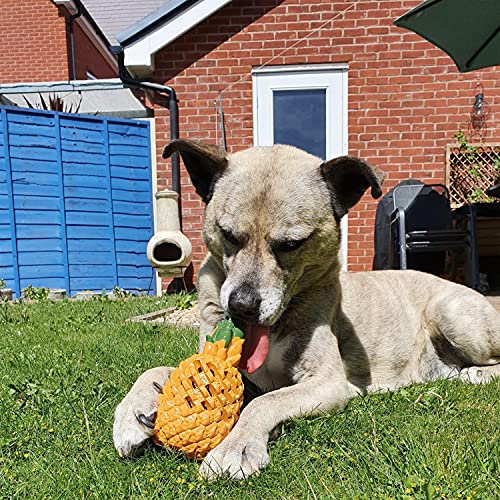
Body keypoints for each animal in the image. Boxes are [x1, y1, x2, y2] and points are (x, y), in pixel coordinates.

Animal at [113, 140, 500, 480]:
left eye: (290, 244)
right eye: (228, 235)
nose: (241, 307)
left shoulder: (327, 384)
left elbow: (264, 403)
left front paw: (236, 448)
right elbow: (160, 369)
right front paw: (131, 413)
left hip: (450, 313)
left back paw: (475, 374)